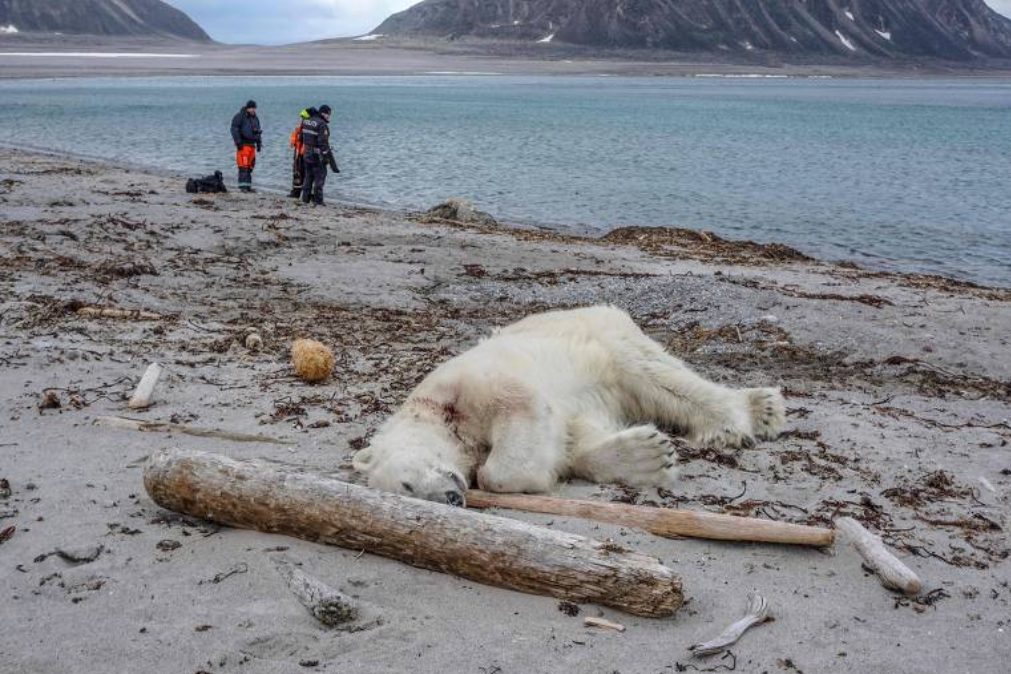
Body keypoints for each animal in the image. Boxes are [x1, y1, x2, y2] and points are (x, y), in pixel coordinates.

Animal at [351, 305, 784, 505]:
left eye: (407, 484)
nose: (452, 498)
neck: (437, 413)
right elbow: (575, 437)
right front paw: (646, 455)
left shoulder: (468, 384)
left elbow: (519, 412)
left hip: (605, 337)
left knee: (656, 376)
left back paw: (748, 414)